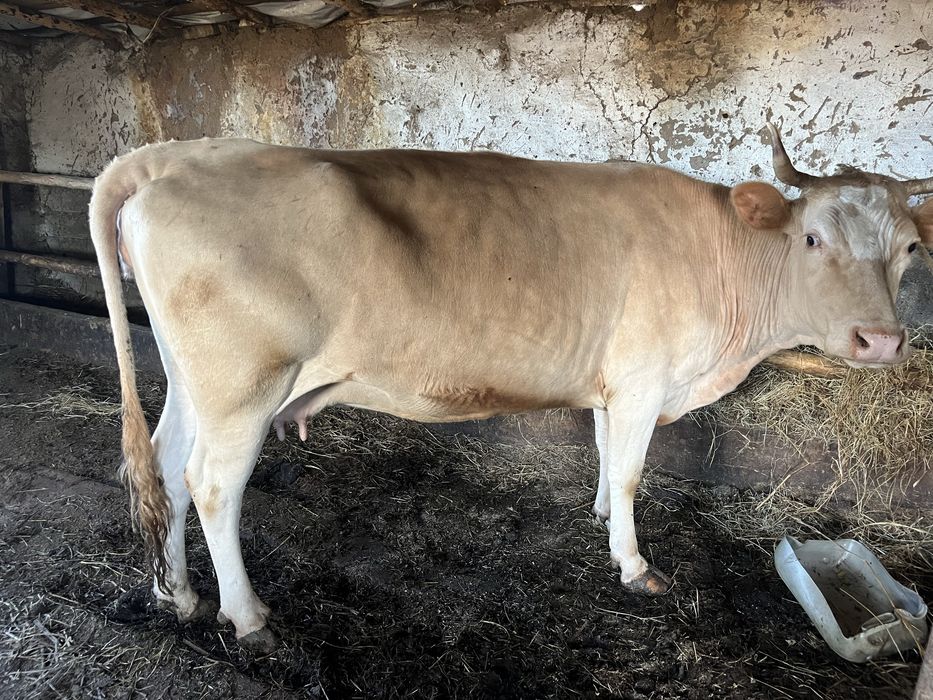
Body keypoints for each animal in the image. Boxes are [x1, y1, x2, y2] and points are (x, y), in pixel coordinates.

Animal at [89, 125, 933, 652]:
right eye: (811, 238)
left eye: (908, 249)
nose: (881, 341)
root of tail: (178, 156)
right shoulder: (642, 377)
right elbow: (632, 471)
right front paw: (634, 566)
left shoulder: (613, 381)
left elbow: (605, 458)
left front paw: (601, 519)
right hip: (244, 384)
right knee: (212, 484)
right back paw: (245, 613)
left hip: (193, 381)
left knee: (166, 468)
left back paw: (177, 594)